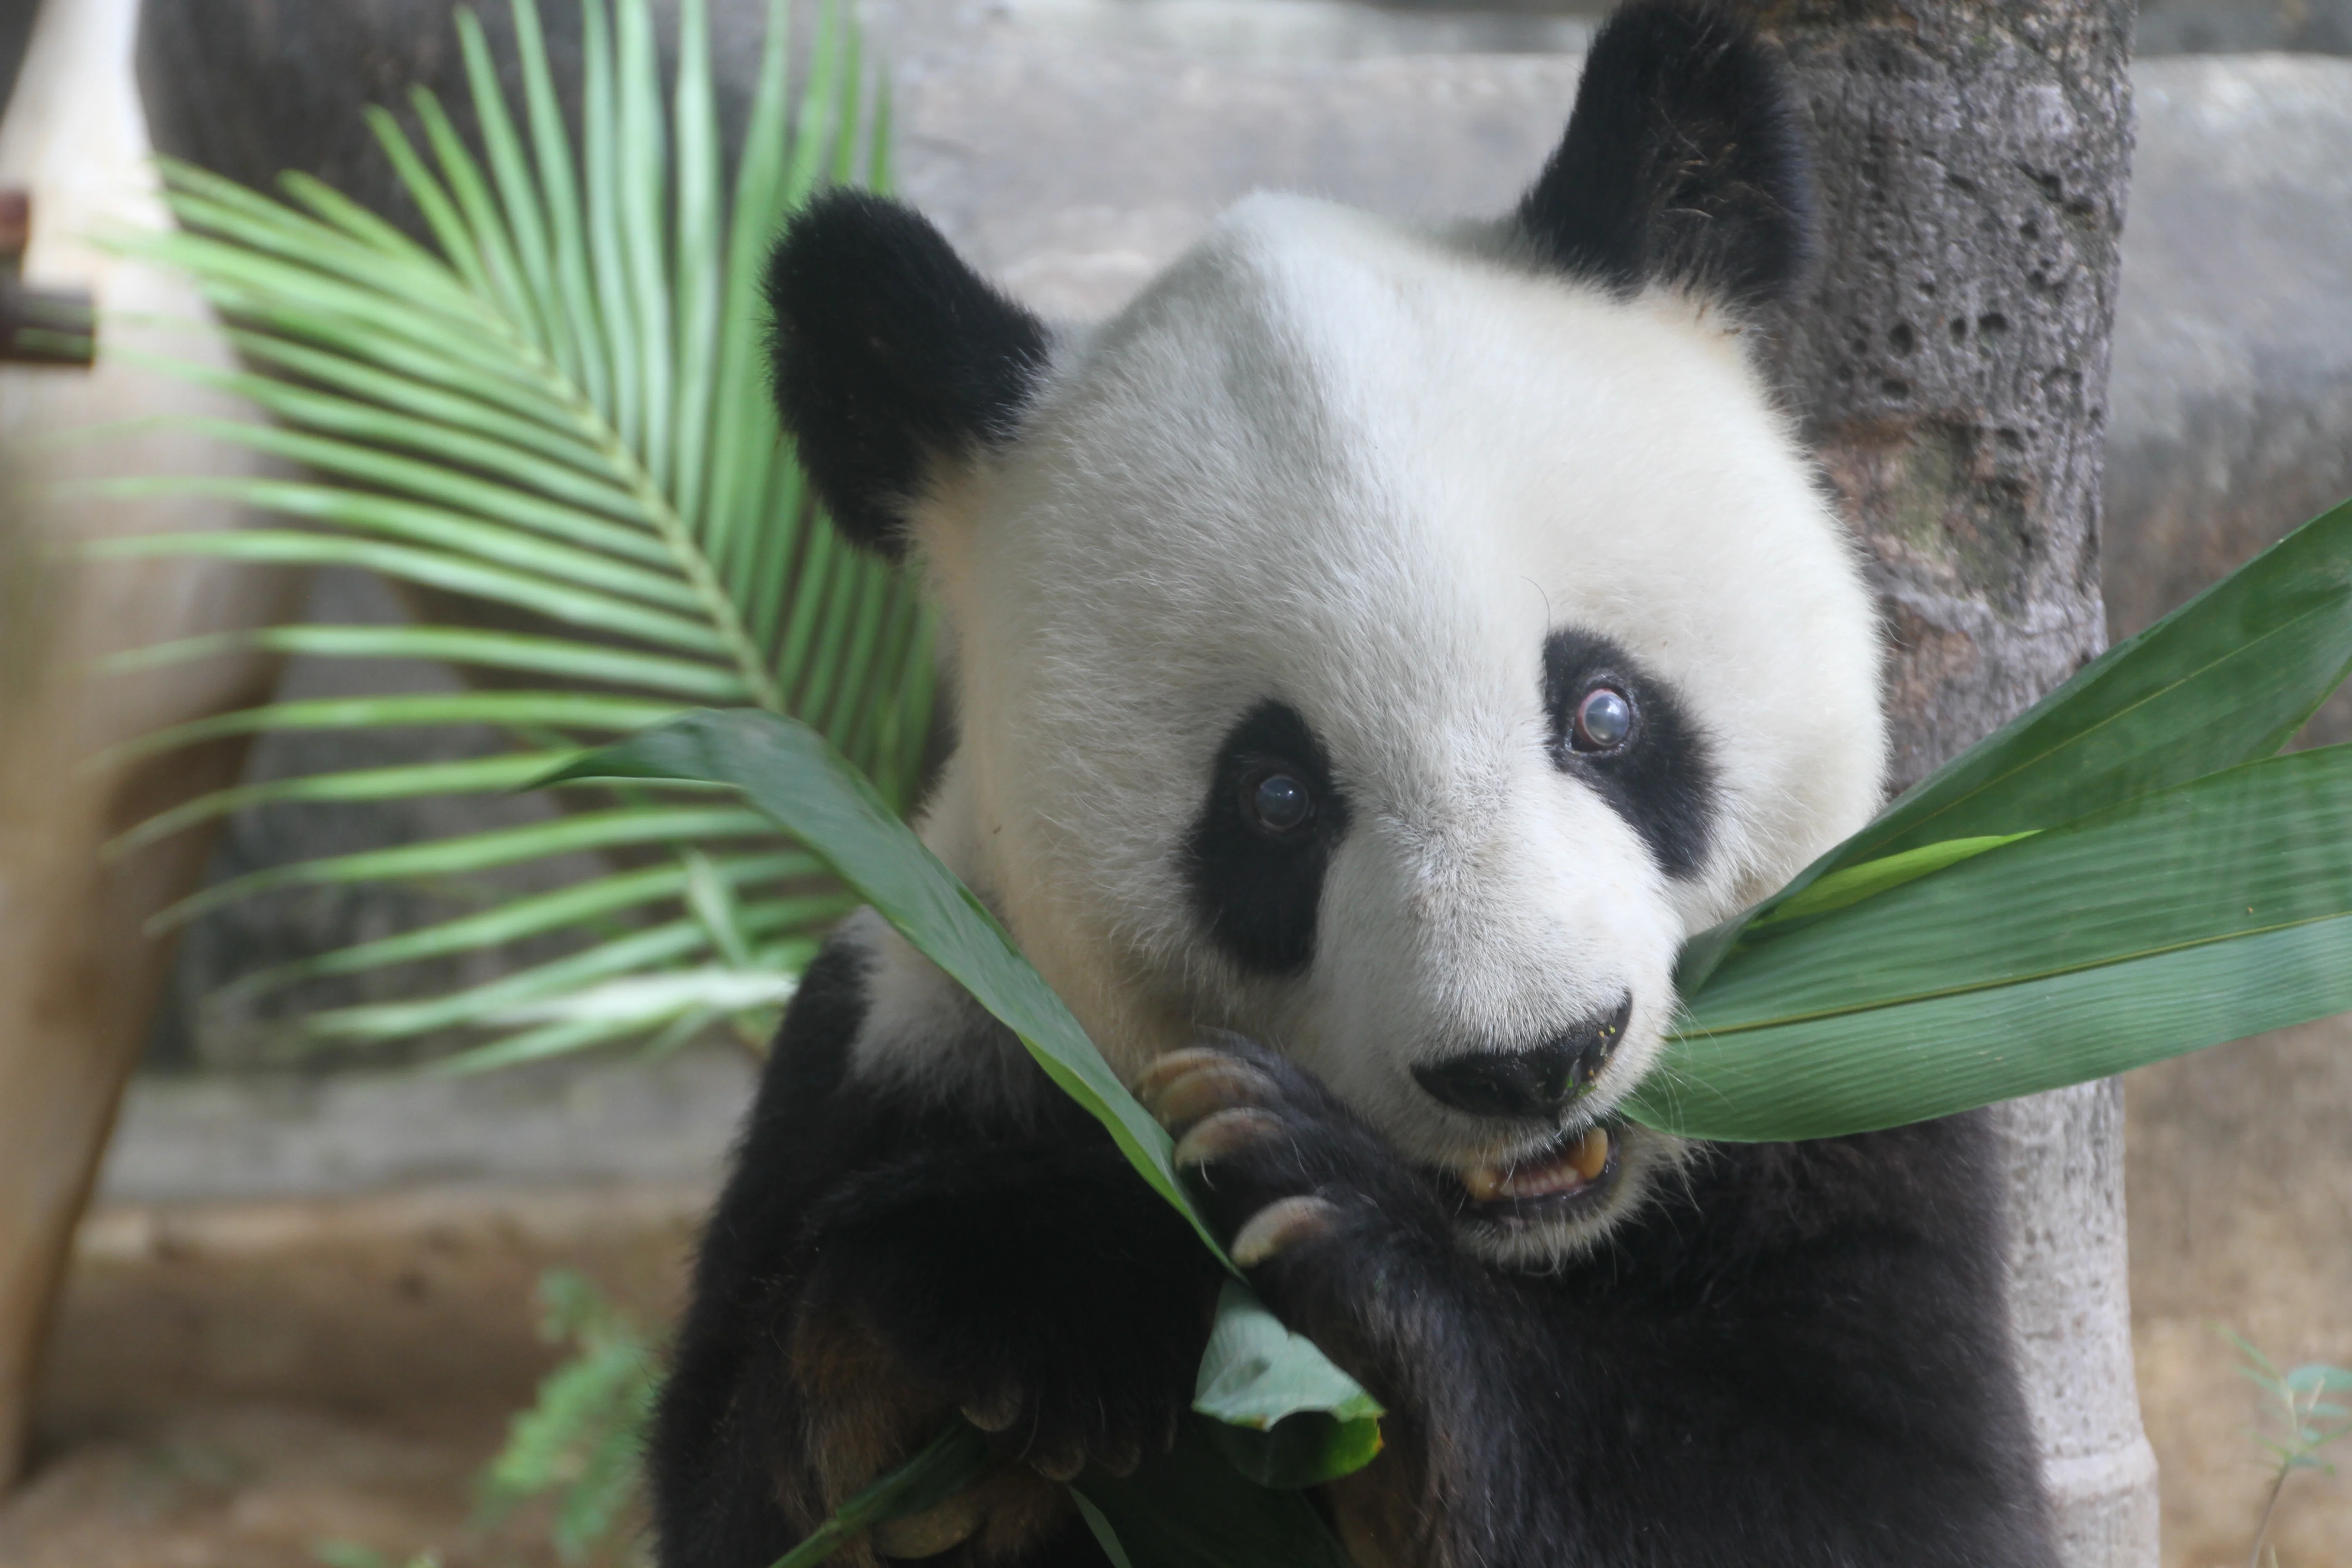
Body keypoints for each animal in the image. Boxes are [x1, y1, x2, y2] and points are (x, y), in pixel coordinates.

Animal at [649, 3, 2058, 1565]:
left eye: (1603, 712)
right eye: (1273, 799)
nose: (1531, 1060)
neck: (1540, 1235)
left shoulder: (1864, 1067)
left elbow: (1876, 1492)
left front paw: (1349, 1264)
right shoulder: (913, 1034)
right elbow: (740, 1478)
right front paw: (998, 1300)